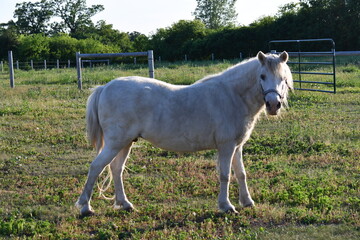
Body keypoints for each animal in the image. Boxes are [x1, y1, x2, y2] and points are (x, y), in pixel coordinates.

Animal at [75, 50, 292, 216]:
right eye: (262, 76)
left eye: (283, 78)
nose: (273, 105)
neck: (232, 95)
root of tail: (105, 87)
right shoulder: (226, 146)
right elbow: (225, 175)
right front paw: (226, 206)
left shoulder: (237, 146)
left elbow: (241, 174)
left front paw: (247, 202)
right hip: (115, 143)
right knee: (96, 167)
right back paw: (85, 207)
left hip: (125, 143)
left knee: (116, 169)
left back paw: (125, 204)